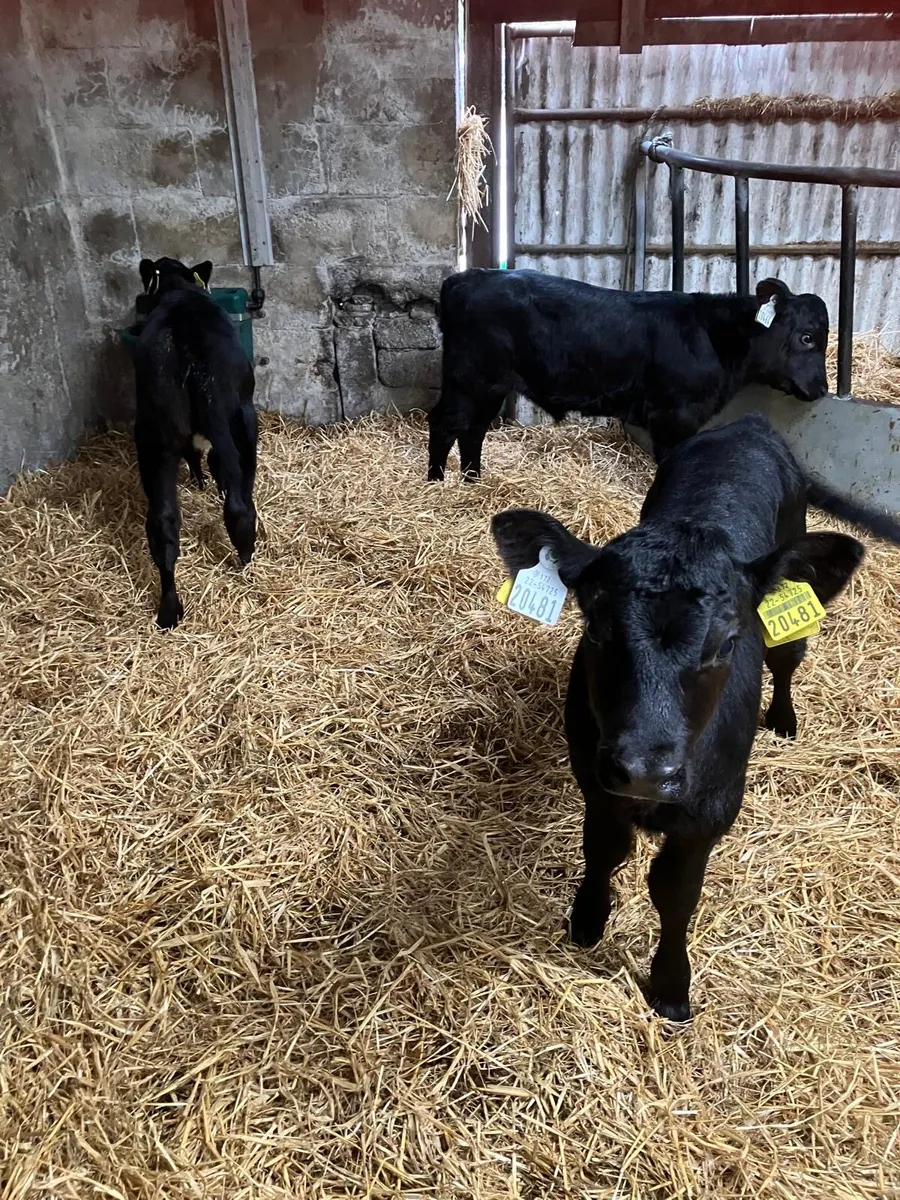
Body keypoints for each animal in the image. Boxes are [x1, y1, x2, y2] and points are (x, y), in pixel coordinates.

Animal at [131, 256, 257, 629]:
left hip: (155, 435)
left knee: (163, 522)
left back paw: (169, 610)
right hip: (241, 416)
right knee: (239, 502)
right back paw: (246, 557)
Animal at [429, 269, 829, 481]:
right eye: (807, 337)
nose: (822, 388)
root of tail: (466, 278)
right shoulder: (673, 419)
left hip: (489, 386)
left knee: (473, 430)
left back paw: (473, 481)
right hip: (469, 379)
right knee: (445, 422)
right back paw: (437, 482)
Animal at [491, 412, 900, 1021]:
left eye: (727, 642)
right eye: (595, 626)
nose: (644, 770)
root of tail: (749, 424)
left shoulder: (712, 809)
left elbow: (676, 892)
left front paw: (670, 985)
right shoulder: (596, 781)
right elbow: (603, 852)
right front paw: (587, 918)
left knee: (788, 659)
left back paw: (784, 718)